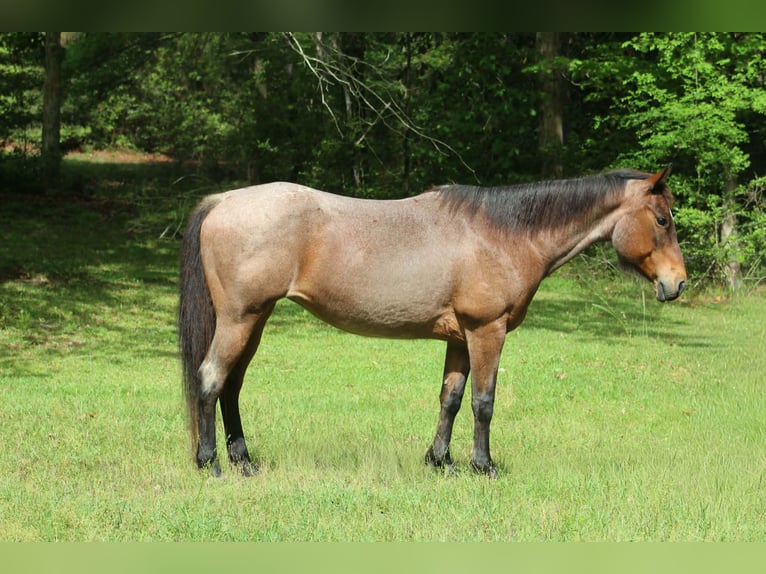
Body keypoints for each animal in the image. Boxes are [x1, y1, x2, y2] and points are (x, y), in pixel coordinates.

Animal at [178, 166, 686, 478]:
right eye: (662, 220)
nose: (678, 283)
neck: (505, 236)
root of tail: (222, 201)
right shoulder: (486, 331)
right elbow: (484, 402)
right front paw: (484, 466)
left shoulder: (460, 337)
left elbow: (451, 399)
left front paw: (440, 461)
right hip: (240, 320)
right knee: (210, 380)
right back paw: (211, 463)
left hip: (255, 320)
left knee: (231, 387)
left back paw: (244, 461)